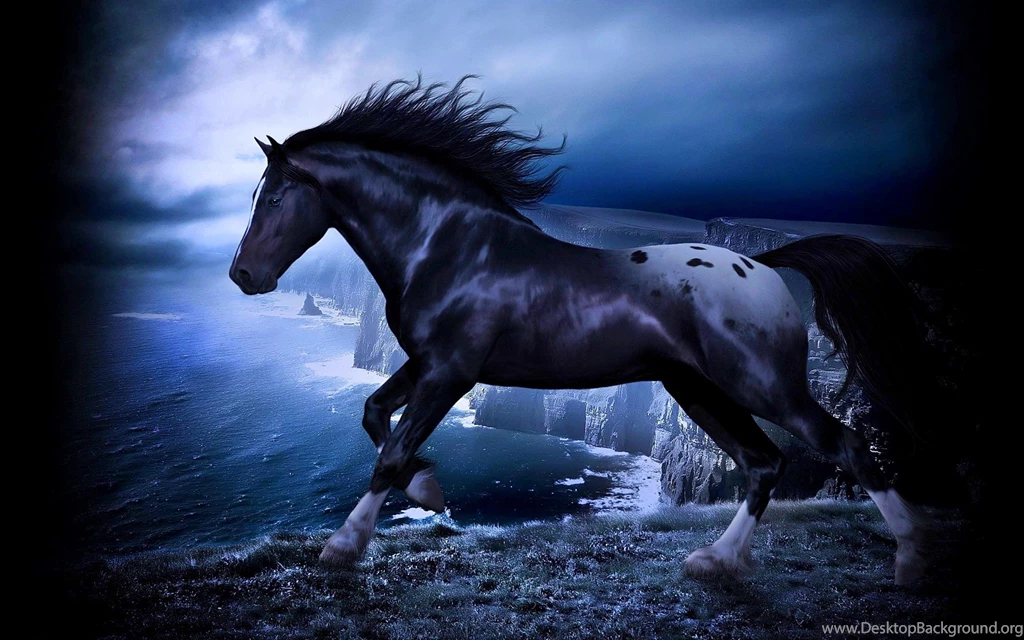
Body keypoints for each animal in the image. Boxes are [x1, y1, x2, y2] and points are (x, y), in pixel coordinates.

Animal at [229, 76, 930, 584]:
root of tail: (761, 263)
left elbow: (392, 450)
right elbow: (375, 414)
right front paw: (429, 490)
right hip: (698, 390)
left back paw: (911, 561)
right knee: (763, 463)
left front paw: (344, 545)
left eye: (274, 197)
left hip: (762, 385)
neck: (450, 245)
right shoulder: (427, 363)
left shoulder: (451, 371)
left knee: (845, 445)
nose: (242, 275)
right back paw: (716, 563)